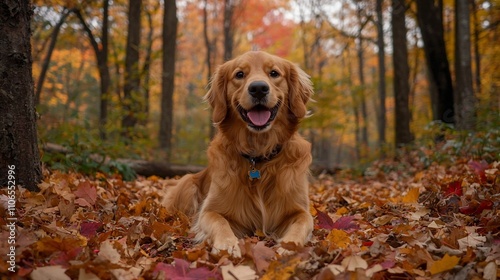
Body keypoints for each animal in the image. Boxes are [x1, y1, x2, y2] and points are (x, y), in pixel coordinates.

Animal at [163, 51, 312, 258]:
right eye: (239, 74)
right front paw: (227, 244)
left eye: (274, 73)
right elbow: (219, 221)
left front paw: (289, 247)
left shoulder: (300, 209)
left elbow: (302, 222)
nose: (258, 88)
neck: (257, 157)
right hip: (187, 183)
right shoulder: (209, 210)